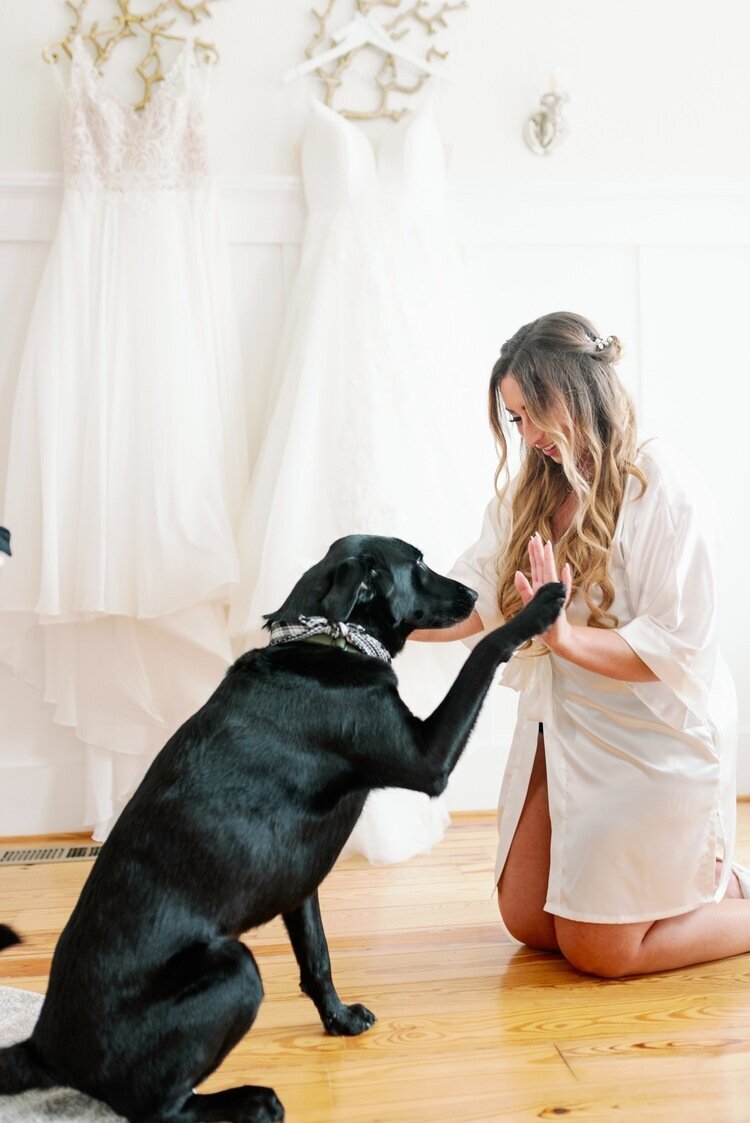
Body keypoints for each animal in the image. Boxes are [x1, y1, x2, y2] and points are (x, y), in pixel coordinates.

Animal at [0, 534, 561, 1123]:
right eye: (419, 563)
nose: (475, 593)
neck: (330, 637)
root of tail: (44, 1047)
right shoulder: (427, 760)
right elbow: (483, 652)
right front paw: (539, 606)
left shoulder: (301, 886)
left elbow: (318, 959)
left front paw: (340, 1021)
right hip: (235, 969)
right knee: (160, 1106)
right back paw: (252, 1100)